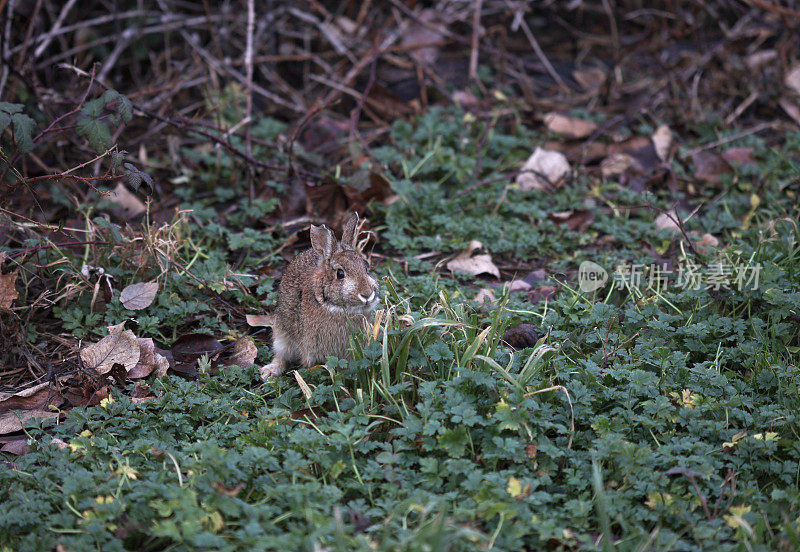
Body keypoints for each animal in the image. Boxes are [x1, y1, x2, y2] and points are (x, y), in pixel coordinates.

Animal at [260, 212, 378, 380]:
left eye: (366, 268)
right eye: (340, 274)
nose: (367, 294)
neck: (331, 305)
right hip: (281, 334)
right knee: (281, 355)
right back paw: (268, 372)